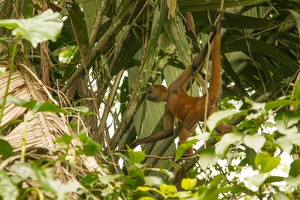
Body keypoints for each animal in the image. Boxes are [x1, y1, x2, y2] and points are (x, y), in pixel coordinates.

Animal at [129, 18, 232, 156]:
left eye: (150, 91)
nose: (147, 96)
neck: (168, 96)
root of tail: (201, 98)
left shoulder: (174, 86)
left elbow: (193, 67)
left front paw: (212, 35)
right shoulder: (167, 107)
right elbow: (167, 131)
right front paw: (137, 142)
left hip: (197, 110)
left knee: (182, 128)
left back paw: (190, 155)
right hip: (209, 110)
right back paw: (228, 131)